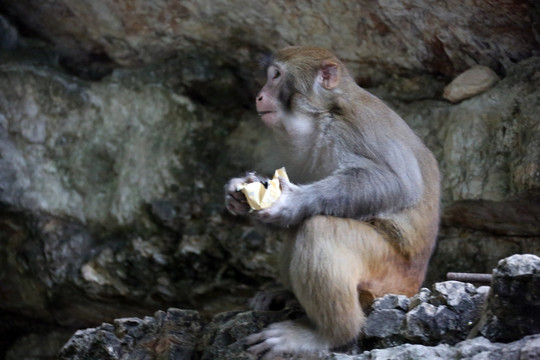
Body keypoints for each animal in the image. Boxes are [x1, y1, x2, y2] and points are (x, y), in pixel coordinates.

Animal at [224, 46, 438, 358]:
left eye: (276, 76)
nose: (259, 95)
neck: (321, 116)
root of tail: (414, 286)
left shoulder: (352, 128)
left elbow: (398, 184)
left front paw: (291, 201)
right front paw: (238, 195)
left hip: (388, 276)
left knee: (320, 230)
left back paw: (326, 334)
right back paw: (285, 296)